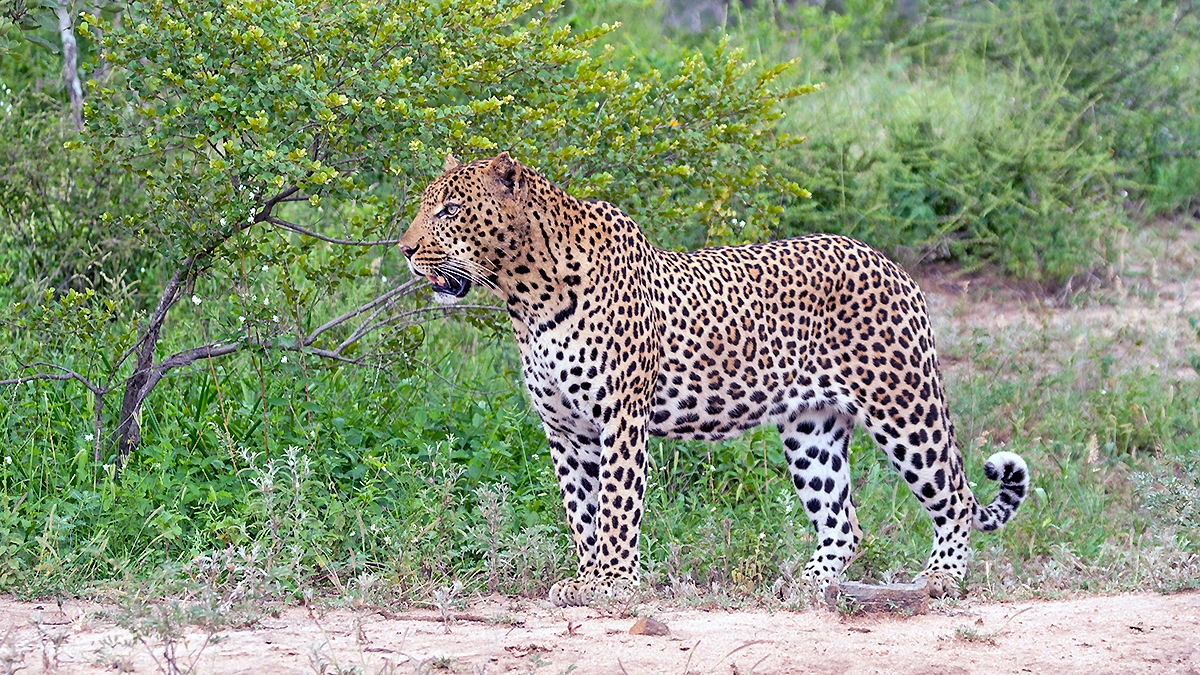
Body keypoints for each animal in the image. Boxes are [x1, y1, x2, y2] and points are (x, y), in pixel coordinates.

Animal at [397, 152, 1030, 606]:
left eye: (449, 211)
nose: (404, 250)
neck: (525, 295)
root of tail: (892, 264)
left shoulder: (619, 419)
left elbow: (616, 507)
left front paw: (609, 584)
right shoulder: (565, 430)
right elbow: (582, 513)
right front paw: (584, 577)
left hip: (904, 404)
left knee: (956, 494)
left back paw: (940, 580)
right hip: (812, 428)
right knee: (844, 520)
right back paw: (806, 585)